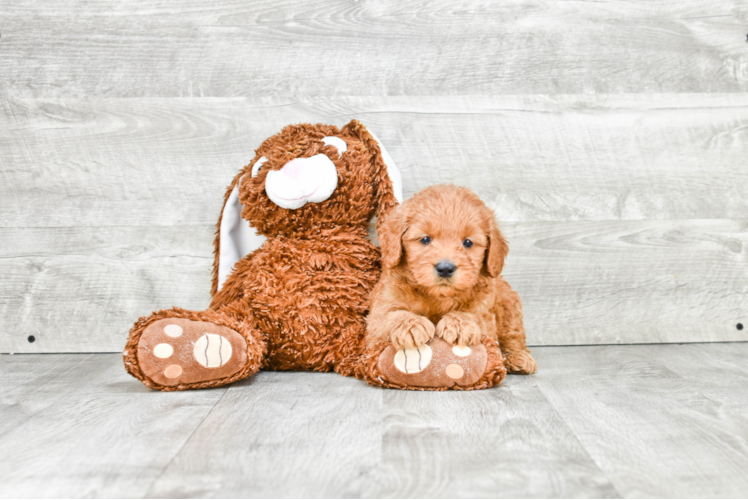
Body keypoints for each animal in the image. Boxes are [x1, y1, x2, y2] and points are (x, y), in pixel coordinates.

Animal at [368, 184, 536, 376]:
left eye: (468, 242)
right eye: (425, 239)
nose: (445, 268)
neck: (437, 297)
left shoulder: (485, 312)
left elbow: (475, 316)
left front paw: (460, 323)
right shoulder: (379, 311)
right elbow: (390, 315)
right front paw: (411, 326)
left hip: (508, 303)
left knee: (513, 336)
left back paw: (519, 358)